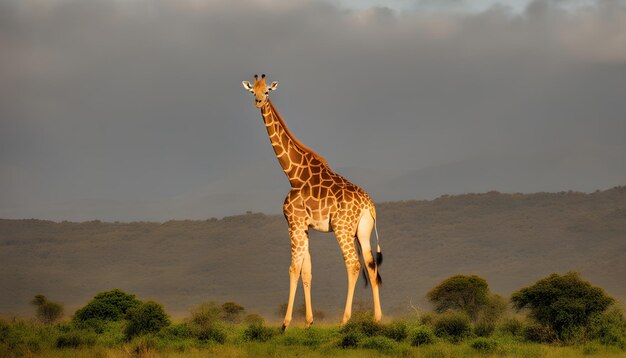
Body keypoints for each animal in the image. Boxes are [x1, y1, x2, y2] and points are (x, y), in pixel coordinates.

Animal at [243, 73, 380, 330]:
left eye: (267, 91)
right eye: (252, 91)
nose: (258, 102)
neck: (293, 174)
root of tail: (370, 206)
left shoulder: (294, 223)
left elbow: (293, 268)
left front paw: (285, 323)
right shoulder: (305, 226)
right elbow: (307, 272)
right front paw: (308, 321)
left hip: (342, 228)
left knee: (353, 265)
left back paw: (344, 320)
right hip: (363, 231)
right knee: (371, 264)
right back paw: (378, 318)